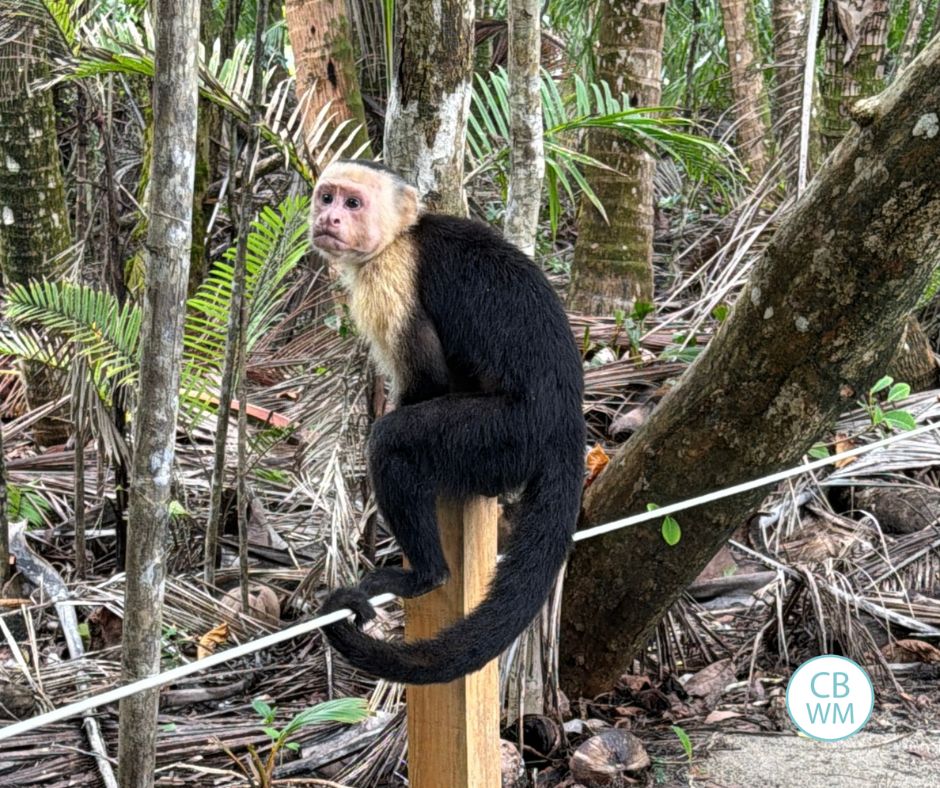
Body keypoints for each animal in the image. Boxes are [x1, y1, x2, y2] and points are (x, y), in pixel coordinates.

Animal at [313, 159, 584, 685]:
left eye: (353, 203)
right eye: (326, 196)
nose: (329, 219)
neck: (400, 236)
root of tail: (568, 424)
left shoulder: (392, 276)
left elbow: (428, 379)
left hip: (505, 436)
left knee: (395, 442)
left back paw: (425, 575)